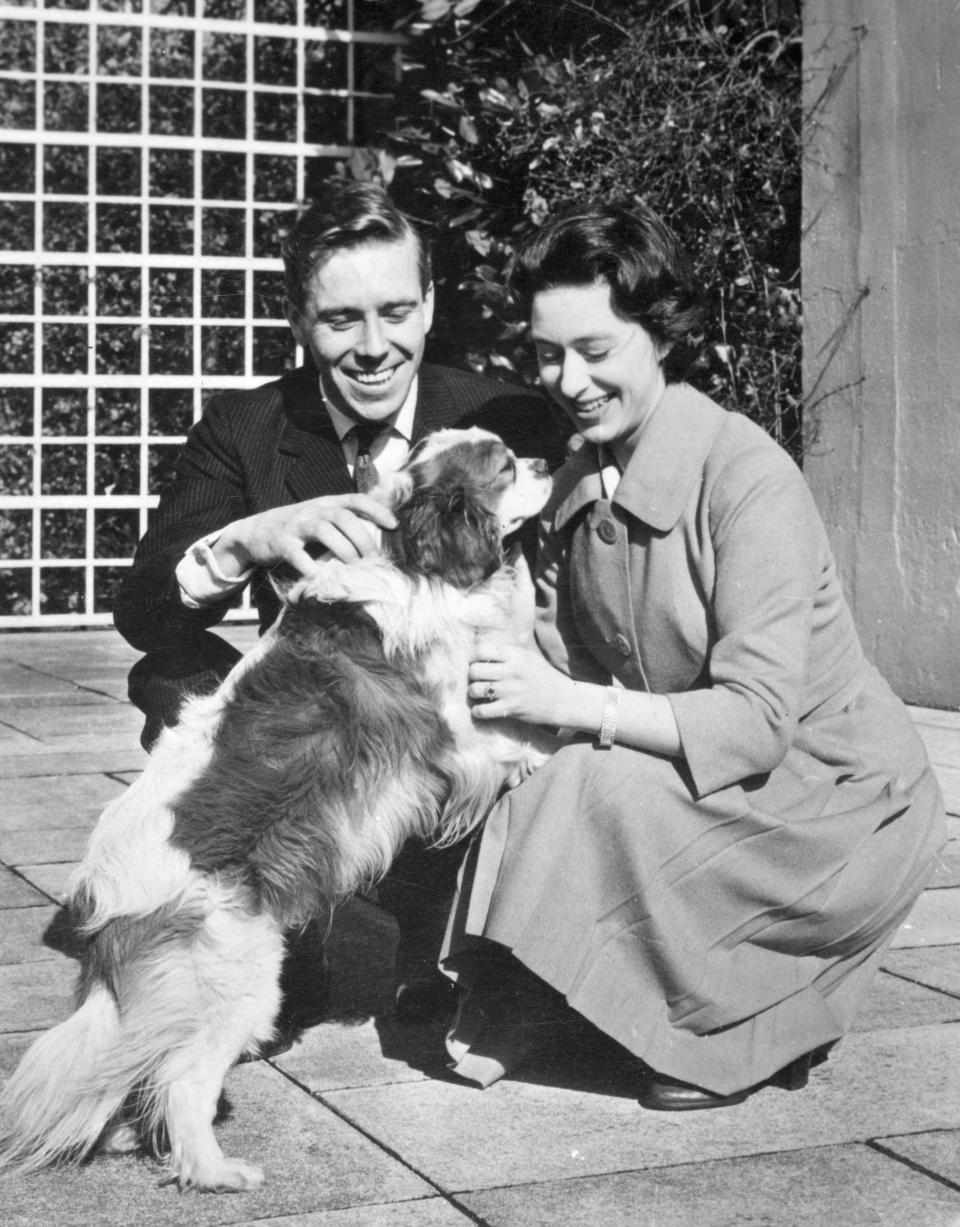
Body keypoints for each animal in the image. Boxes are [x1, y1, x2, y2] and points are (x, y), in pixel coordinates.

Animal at [0, 429, 557, 1187]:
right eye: (504, 463)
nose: (549, 461)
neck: (408, 557)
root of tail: (106, 911)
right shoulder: (454, 733)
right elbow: (520, 736)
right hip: (240, 982)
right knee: (182, 1079)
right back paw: (213, 1170)